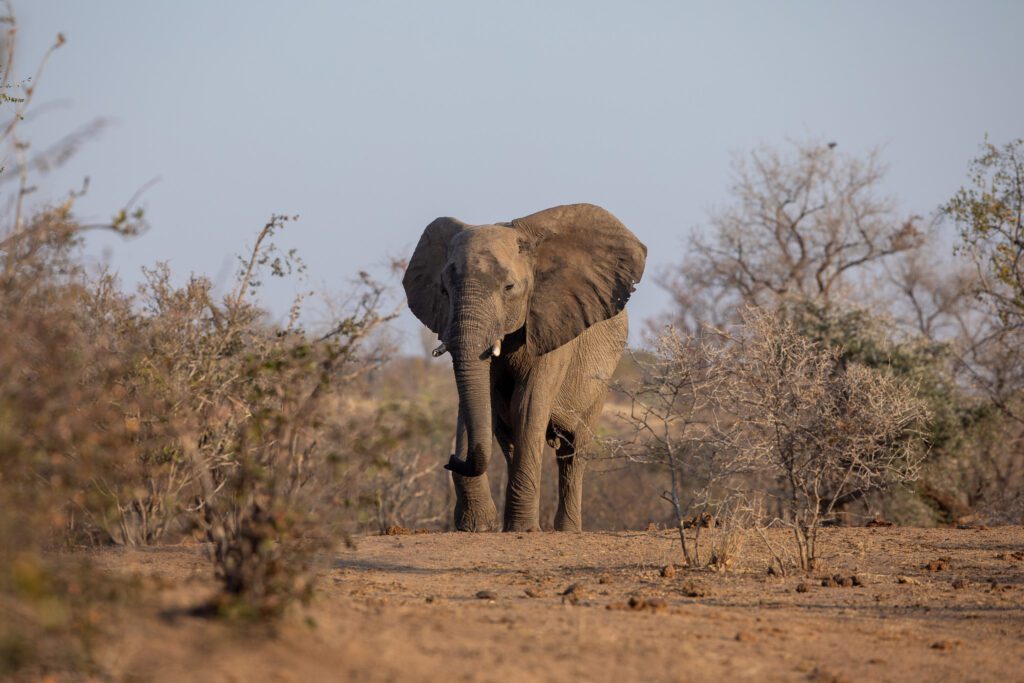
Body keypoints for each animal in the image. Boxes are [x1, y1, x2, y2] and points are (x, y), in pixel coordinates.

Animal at [403, 202, 643, 532]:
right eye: (443, 291)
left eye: (509, 287)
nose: (451, 459)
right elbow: (479, 404)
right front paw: (477, 528)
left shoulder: (553, 326)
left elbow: (527, 405)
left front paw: (523, 529)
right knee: (512, 441)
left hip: (601, 378)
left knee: (573, 452)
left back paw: (566, 530)